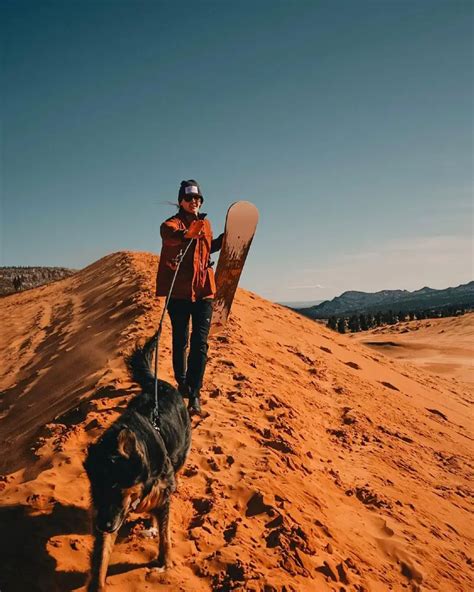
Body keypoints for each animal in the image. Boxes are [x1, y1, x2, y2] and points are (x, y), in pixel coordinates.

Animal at [84, 336, 192, 588]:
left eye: (116, 488)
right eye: (96, 490)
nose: (101, 525)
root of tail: (160, 384)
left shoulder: (159, 495)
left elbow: (165, 536)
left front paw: (165, 564)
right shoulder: (109, 513)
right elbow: (101, 557)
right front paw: (97, 585)